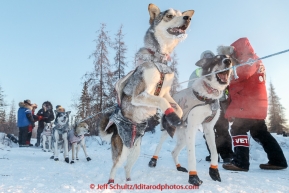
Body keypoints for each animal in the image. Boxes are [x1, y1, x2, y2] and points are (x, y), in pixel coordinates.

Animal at [98, 3, 195, 184]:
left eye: (181, 14)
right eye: (169, 16)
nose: (188, 18)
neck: (160, 60)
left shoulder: (165, 93)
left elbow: (177, 107)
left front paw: (173, 119)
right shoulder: (140, 96)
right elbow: (162, 103)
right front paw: (171, 116)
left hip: (135, 152)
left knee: (127, 168)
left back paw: (130, 182)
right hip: (121, 152)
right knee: (114, 169)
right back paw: (111, 184)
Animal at [147, 49, 233, 186]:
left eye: (228, 57)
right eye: (215, 59)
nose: (228, 61)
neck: (208, 96)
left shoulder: (208, 128)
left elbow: (214, 152)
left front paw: (214, 172)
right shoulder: (192, 128)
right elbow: (192, 156)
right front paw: (193, 177)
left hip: (183, 137)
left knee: (174, 152)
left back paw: (179, 167)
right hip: (169, 131)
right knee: (159, 146)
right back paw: (153, 161)